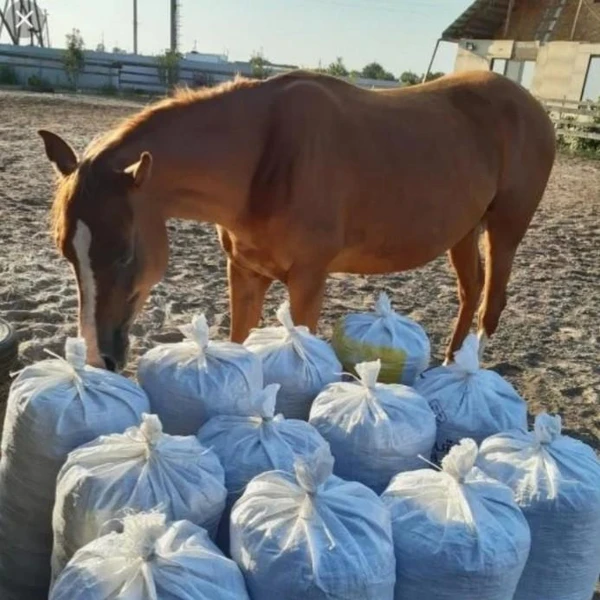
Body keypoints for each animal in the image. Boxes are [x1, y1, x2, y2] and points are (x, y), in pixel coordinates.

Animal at [39, 69, 556, 370]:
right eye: (67, 253)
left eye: (125, 252)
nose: (97, 356)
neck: (265, 155)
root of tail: (532, 104)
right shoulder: (245, 272)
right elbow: (239, 338)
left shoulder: (308, 279)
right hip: (464, 231)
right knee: (470, 292)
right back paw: (450, 362)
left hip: (506, 229)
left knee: (492, 301)